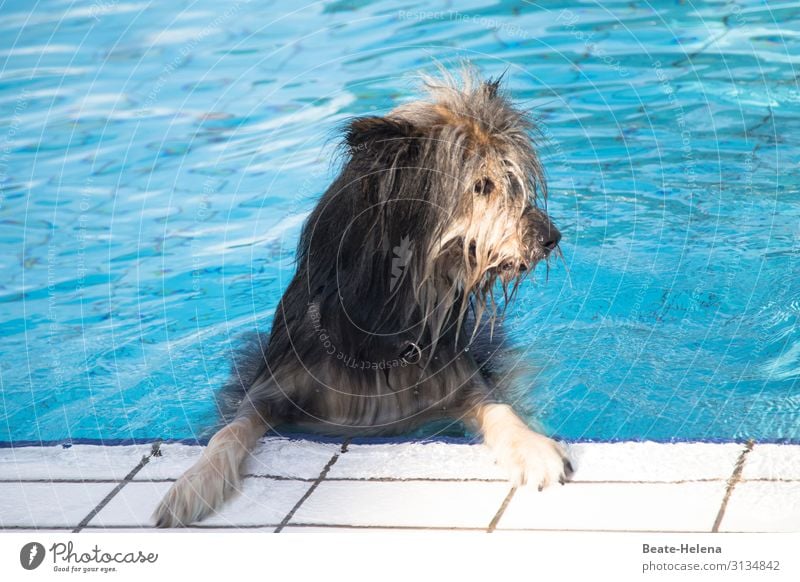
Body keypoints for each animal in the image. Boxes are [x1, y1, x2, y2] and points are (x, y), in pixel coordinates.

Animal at [153, 68, 572, 528]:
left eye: (515, 182)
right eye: (481, 186)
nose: (551, 237)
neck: (382, 320)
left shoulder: (457, 375)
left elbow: (495, 405)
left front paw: (531, 444)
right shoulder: (270, 386)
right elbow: (231, 429)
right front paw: (195, 480)